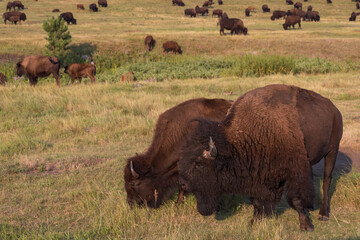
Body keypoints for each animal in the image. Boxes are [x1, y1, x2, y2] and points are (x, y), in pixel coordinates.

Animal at [180, 84, 344, 231]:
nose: (184, 185)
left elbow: (295, 198)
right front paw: (256, 220)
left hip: (332, 151)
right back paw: (310, 207)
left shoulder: (295, 169)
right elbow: (258, 200)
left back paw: (323, 214)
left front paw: (306, 226)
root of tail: (334, 110)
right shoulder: (261, 174)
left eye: (199, 164)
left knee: (327, 180)